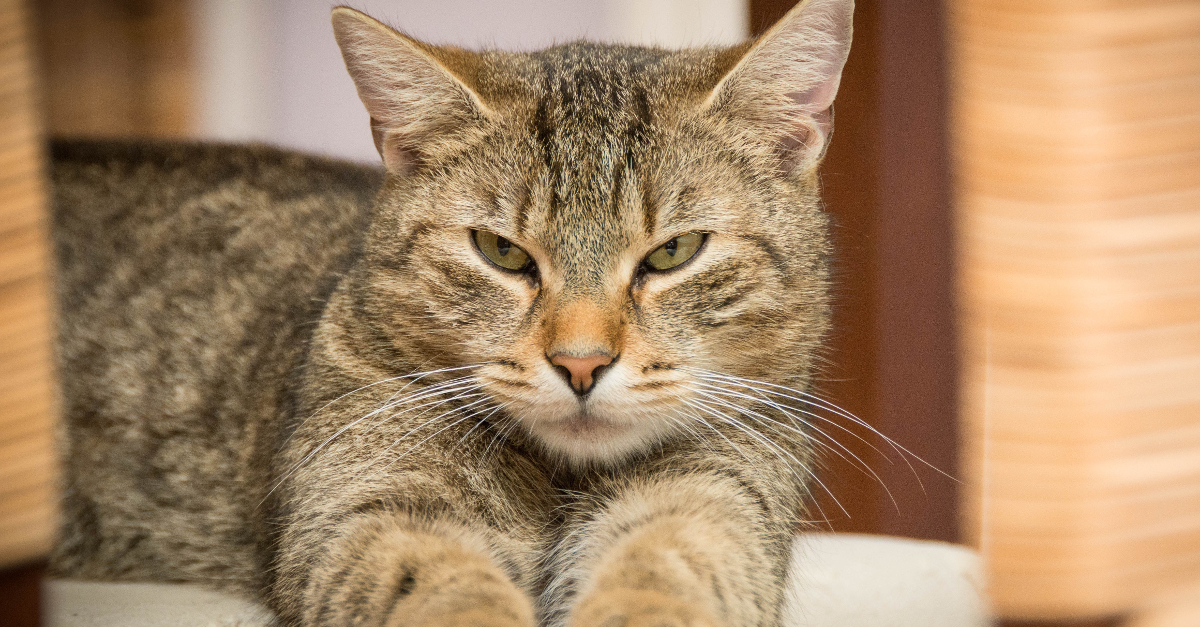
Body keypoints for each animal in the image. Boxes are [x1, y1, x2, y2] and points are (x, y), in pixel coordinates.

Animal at [46, 1, 854, 624]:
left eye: (674, 252)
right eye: (501, 251)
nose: (581, 363)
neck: (558, 478)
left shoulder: (716, 500)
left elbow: (663, 573)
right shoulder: (372, 506)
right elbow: (444, 591)